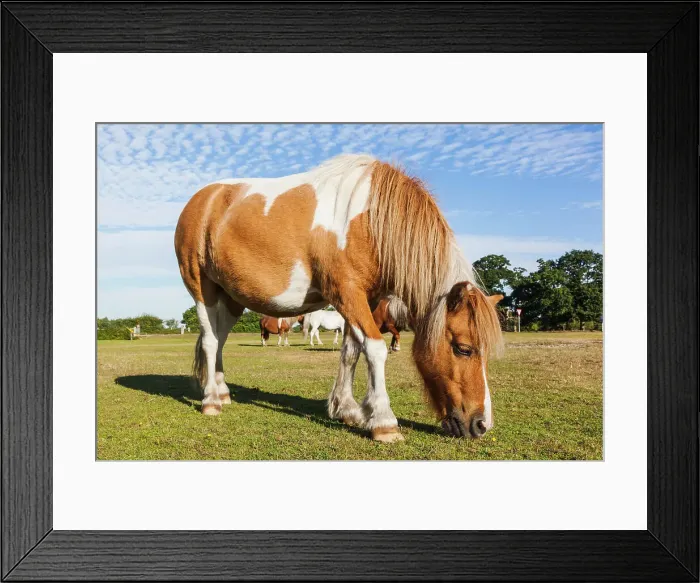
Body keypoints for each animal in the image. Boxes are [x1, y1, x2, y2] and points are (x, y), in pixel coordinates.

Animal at [175, 154, 503, 442]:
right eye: (463, 348)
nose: (482, 424)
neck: (369, 221)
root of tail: (203, 199)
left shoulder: (365, 300)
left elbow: (351, 351)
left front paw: (347, 410)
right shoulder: (346, 292)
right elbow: (375, 349)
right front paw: (384, 422)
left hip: (232, 299)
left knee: (219, 341)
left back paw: (222, 392)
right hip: (202, 289)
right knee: (210, 341)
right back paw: (211, 401)